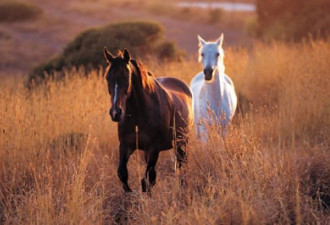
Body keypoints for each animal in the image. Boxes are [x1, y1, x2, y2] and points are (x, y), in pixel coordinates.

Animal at [104, 47, 193, 192]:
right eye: (107, 77)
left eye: (127, 77)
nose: (115, 113)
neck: (138, 114)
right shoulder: (125, 145)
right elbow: (122, 174)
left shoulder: (153, 148)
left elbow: (147, 180)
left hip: (181, 141)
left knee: (182, 165)